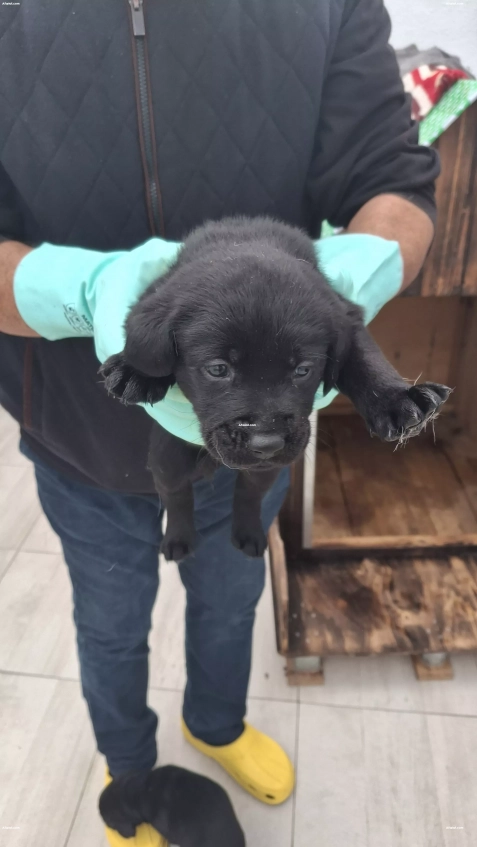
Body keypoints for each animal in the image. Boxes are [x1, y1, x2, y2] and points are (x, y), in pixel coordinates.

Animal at [101, 219, 450, 564]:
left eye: (303, 370)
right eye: (218, 369)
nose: (266, 443)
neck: (246, 240)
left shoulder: (344, 313)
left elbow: (363, 356)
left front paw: (399, 400)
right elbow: (141, 346)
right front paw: (131, 370)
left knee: (249, 493)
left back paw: (248, 534)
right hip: (167, 456)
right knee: (176, 495)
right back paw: (178, 539)